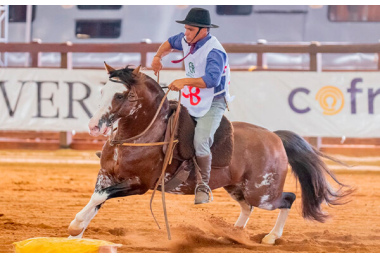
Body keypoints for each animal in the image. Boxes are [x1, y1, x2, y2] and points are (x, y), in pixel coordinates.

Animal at [67, 64, 352, 245]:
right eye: (101, 91)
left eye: (121, 94)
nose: (94, 126)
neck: (139, 136)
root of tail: (275, 137)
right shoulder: (106, 176)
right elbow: (96, 199)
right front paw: (76, 234)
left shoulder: (139, 185)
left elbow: (100, 198)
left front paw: (74, 227)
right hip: (236, 187)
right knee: (247, 207)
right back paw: (235, 233)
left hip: (263, 193)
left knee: (288, 199)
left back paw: (271, 237)